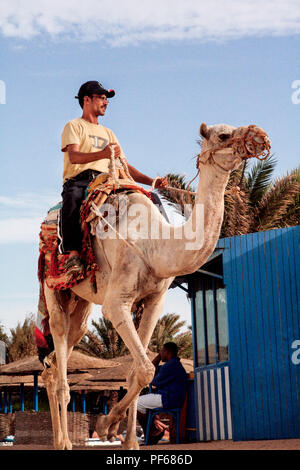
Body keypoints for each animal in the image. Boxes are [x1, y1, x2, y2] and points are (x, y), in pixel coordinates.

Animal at [40, 120, 270, 448]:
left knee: (56, 360)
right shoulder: (116, 303)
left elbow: (139, 373)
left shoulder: (153, 301)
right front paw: (107, 424)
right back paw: (64, 442)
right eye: (224, 135)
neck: (154, 243)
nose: (260, 136)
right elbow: (148, 369)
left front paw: (128, 440)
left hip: (81, 303)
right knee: (59, 356)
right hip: (54, 288)